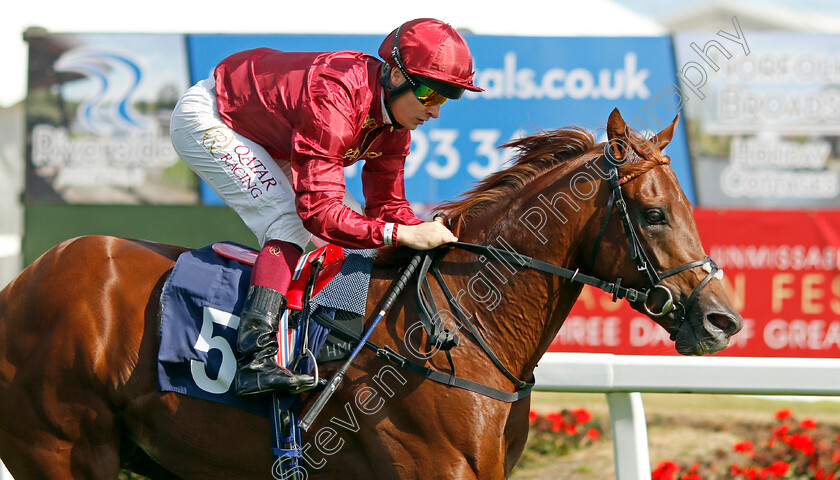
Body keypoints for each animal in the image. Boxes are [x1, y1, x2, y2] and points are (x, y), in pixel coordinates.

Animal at [0, 109, 740, 480]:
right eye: (653, 214)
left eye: (688, 208)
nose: (723, 320)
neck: (461, 325)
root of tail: (21, 284)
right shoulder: (433, 470)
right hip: (62, 449)